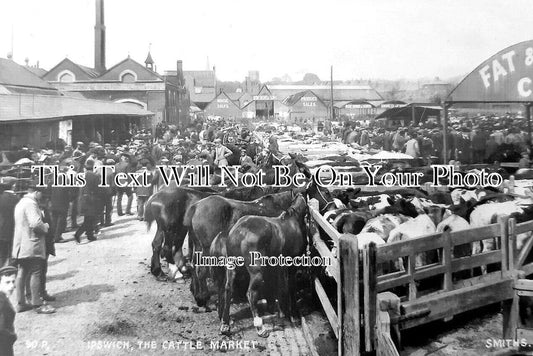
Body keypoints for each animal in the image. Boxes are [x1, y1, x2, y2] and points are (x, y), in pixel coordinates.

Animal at [214, 195, 308, 336]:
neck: (293, 220)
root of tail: (238, 232)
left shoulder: (277, 267)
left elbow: (279, 288)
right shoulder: (291, 265)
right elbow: (290, 287)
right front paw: (293, 315)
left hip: (232, 268)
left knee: (228, 290)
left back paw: (225, 324)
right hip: (256, 272)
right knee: (250, 294)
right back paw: (260, 327)